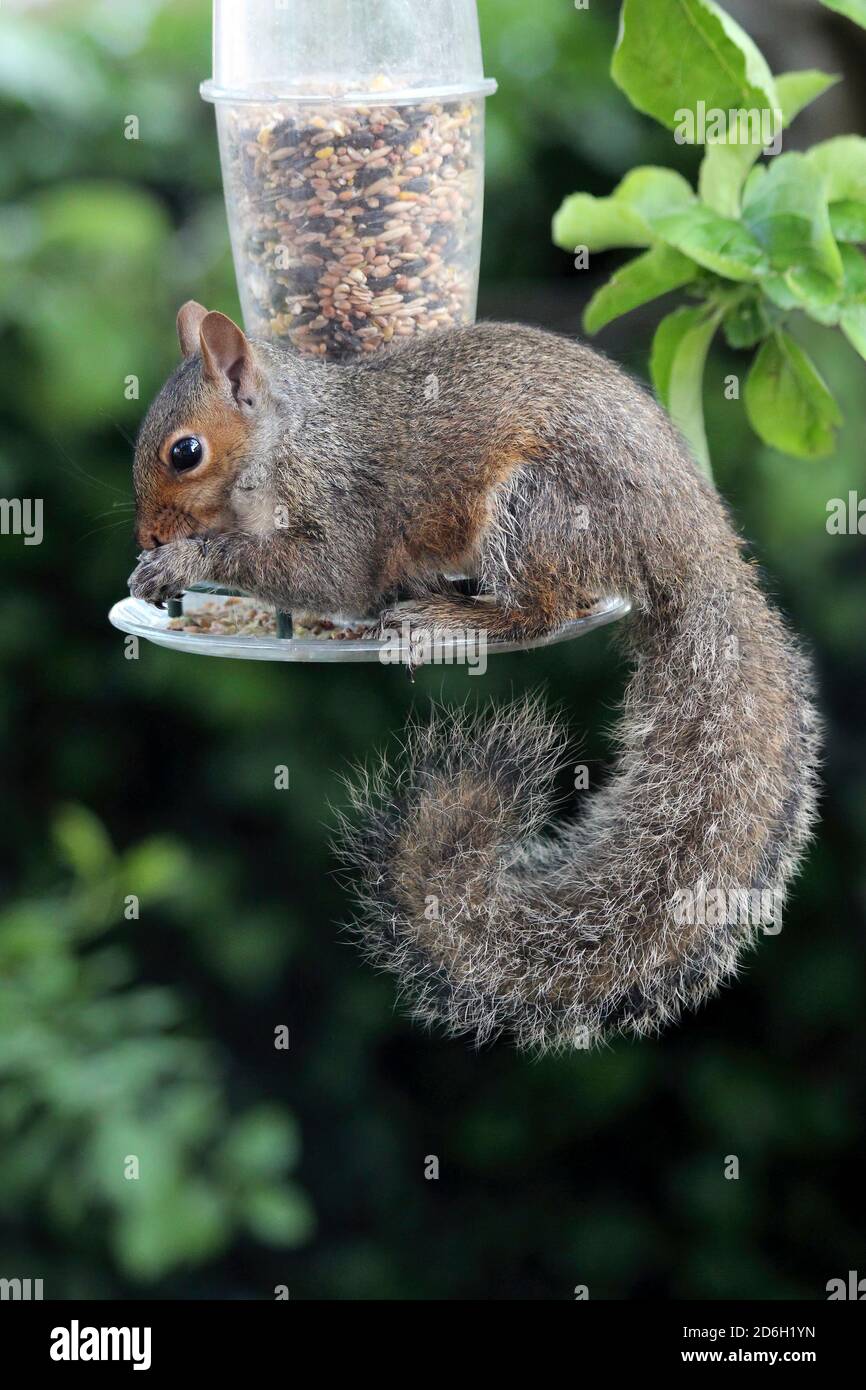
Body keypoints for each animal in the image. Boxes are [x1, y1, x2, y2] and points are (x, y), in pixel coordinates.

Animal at [128, 301, 817, 1045]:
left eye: (185, 452)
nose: (147, 537)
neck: (288, 438)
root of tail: (690, 543)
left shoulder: (344, 510)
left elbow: (328, 577)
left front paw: (182, 562)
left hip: (541, 506)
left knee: (542, 611)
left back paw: (446, 619)